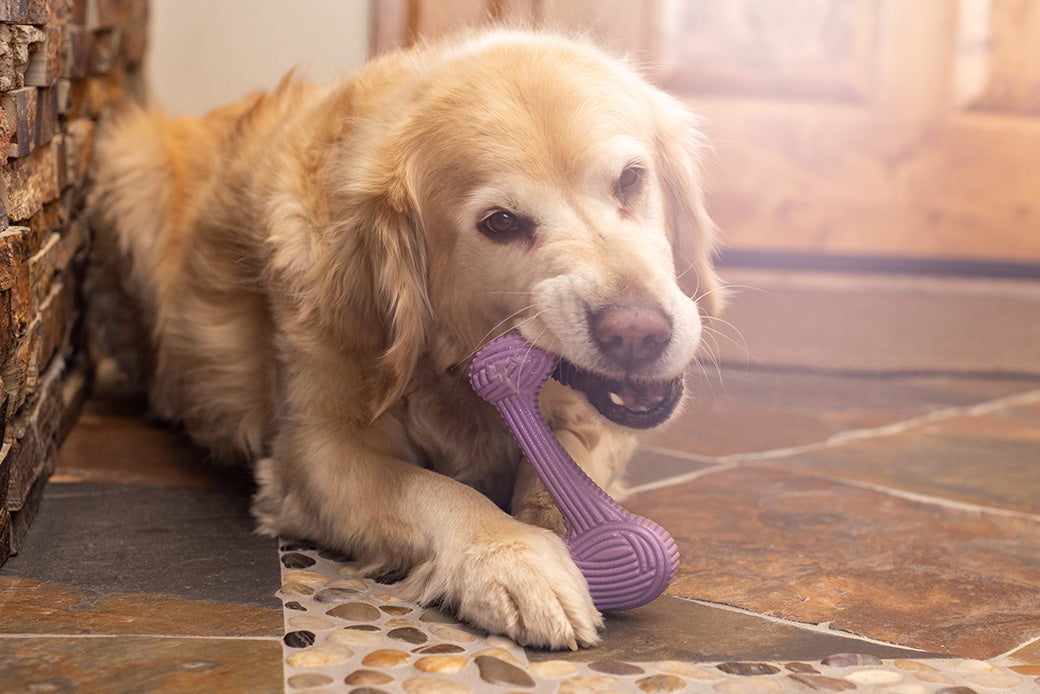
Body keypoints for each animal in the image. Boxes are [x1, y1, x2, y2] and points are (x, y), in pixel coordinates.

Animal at [89, 29, 719, 649]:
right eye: (501, 223)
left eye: (630, 179)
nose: (637, 334)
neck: (448, 370)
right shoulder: (316, 451)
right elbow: (433, 490)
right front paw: (512, 556)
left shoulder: (590, 418)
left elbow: (564, 463)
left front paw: (563, 524)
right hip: (130, 165)